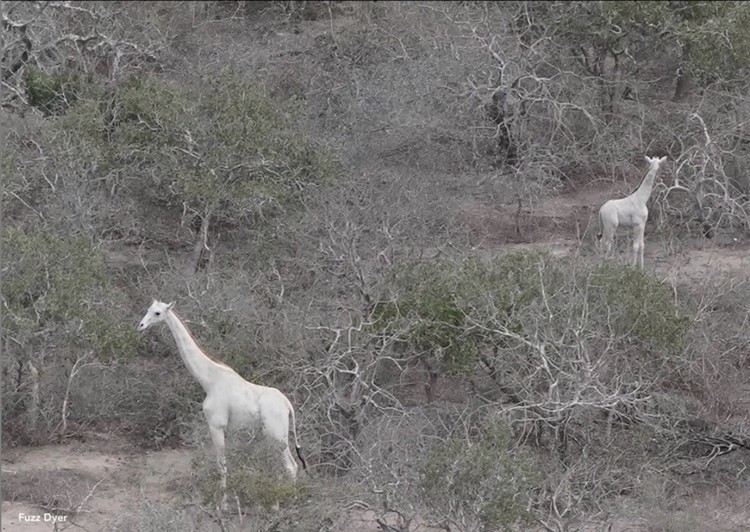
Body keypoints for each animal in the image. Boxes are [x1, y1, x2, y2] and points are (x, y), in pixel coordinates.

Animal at [137, 300, 307, 509]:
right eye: (148, 310)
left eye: (158, 313)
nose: (140, 326)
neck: (209, 380)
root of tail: (288, 405)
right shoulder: (227, 429)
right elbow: (225, 463)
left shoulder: (216, 425)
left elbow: (222, 466)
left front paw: (223, 505)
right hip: (275, 435)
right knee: (289, 465)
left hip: (276, 434)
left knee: (290, 466)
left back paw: (282, 504)